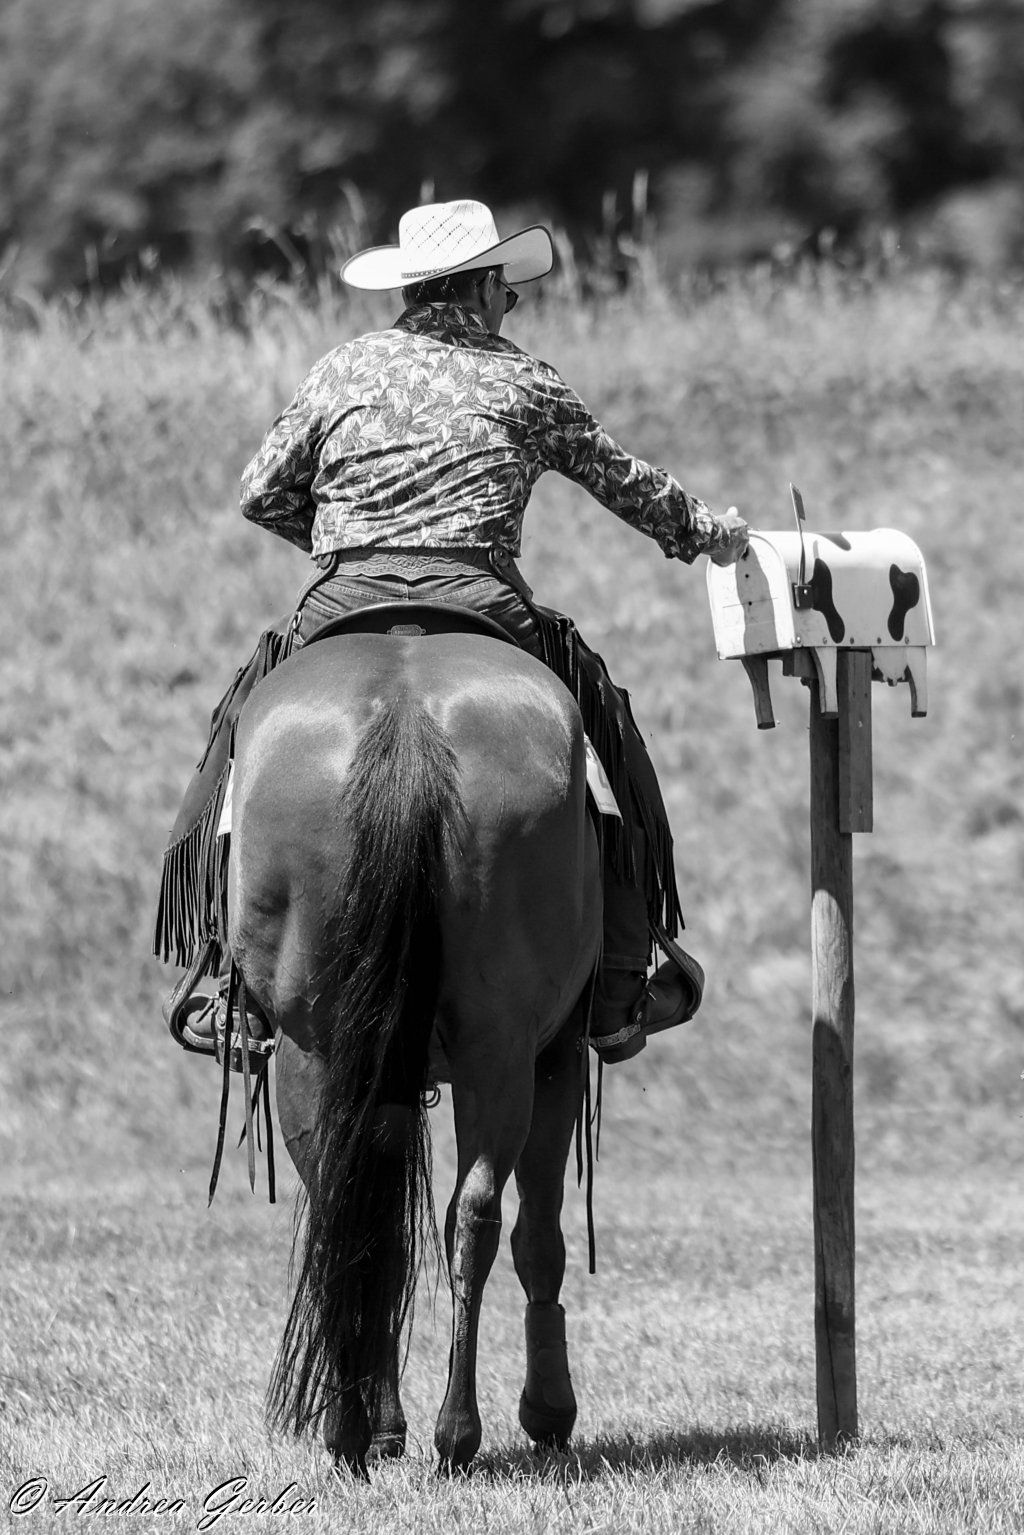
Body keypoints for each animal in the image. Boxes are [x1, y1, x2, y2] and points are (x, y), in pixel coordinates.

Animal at [226, 626, 604, 1474]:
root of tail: (407, 721)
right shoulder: (556, 1052)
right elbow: (539, 1238)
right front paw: (547, 1410)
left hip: (319, 1047)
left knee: (362, 1207)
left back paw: (366, 1430)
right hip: (497, 1049)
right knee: (473, 1213)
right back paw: (450, 1432)